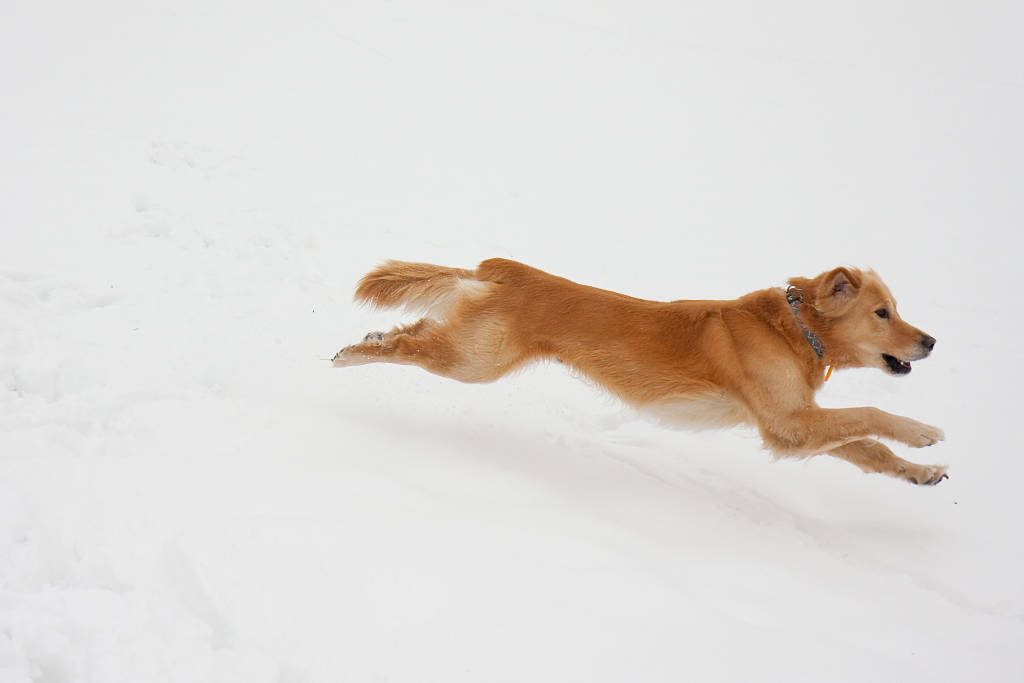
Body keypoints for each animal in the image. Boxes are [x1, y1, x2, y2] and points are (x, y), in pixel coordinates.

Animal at [331, 258, 946, 485]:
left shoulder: (797, 419)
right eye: (882, 313)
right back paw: (353, 354)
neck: (795, 328)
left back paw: (369, 339)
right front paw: (924, 432)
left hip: (471, 351)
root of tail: (499, 269)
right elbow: (872, 413)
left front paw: (919, 472)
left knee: (413, 332)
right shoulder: (788, 425)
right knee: (409, 346)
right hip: (475, 362)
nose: (932, 341)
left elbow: (868, 447)